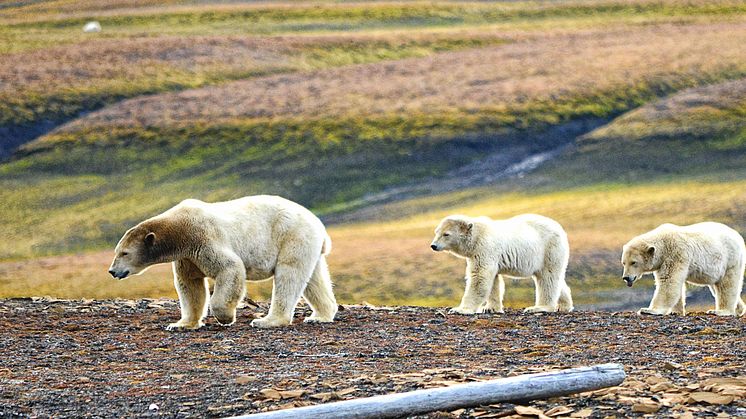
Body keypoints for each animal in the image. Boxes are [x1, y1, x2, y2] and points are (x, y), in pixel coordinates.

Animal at [107, 195, 338, 330]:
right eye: (116, 251)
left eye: (124, 253)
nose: (112, 271)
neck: (179, 228)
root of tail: (318, 224)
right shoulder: (188, 257)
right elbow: (190, 285)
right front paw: (181, 324)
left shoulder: (204, 238)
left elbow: (230, 268)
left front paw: (226, 317)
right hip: (307, 245)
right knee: (314, 279)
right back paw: (320, 316)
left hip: (292, 236)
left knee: (289, 276)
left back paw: (267, 320)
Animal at [430, 213, 568, 316]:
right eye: (436, 232)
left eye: (446, 234)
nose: (433, 245)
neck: (477, 235)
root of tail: (560, 229)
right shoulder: (483, 255)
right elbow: (493, 280)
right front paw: (490, 308)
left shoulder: (484, 248)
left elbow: (479, 277)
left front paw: (460, 309)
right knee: (556, 279)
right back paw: (563, 306)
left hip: (548, 250)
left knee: (547, 278)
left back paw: (539, 307)